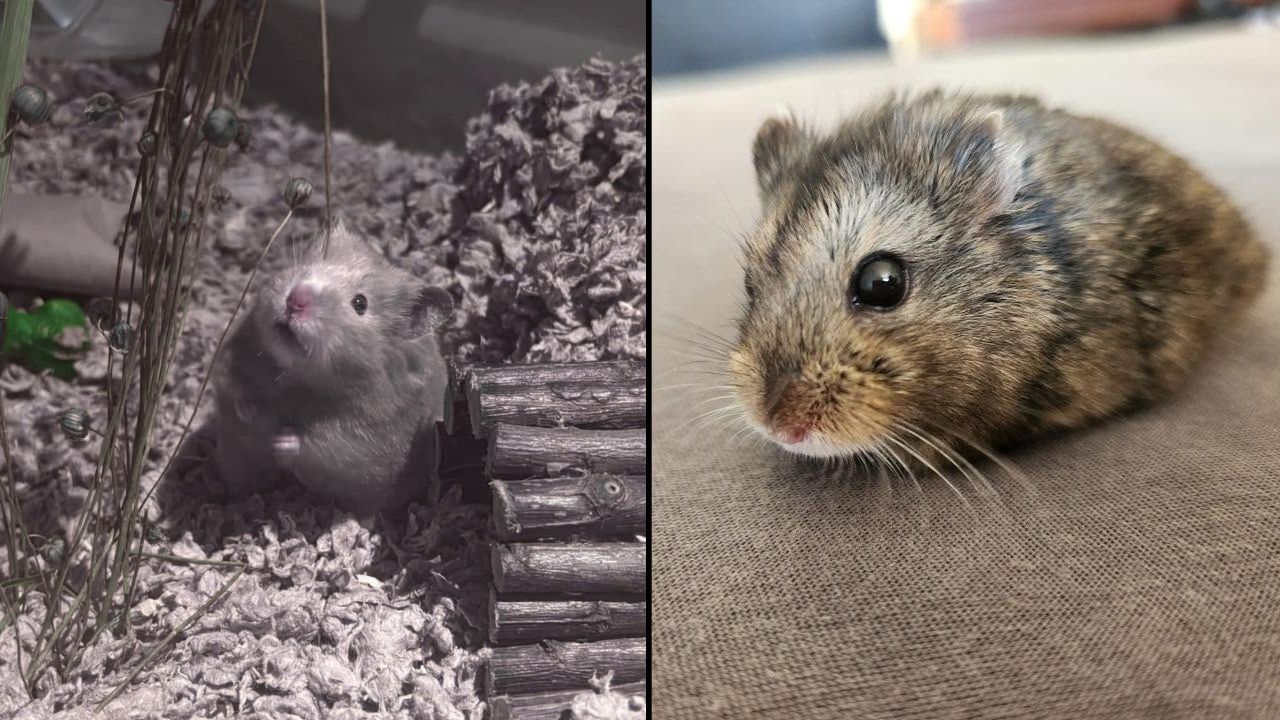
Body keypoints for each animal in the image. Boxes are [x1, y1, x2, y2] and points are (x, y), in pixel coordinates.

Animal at [211, 221, 453, 515]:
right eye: (307, 266)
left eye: (360, 303)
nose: (295, 301)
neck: (302, 377)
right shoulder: (232, 355)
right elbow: (233, 386)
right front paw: (252, 412)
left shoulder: (364, 436)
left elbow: (321, 447)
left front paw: (280, 439)